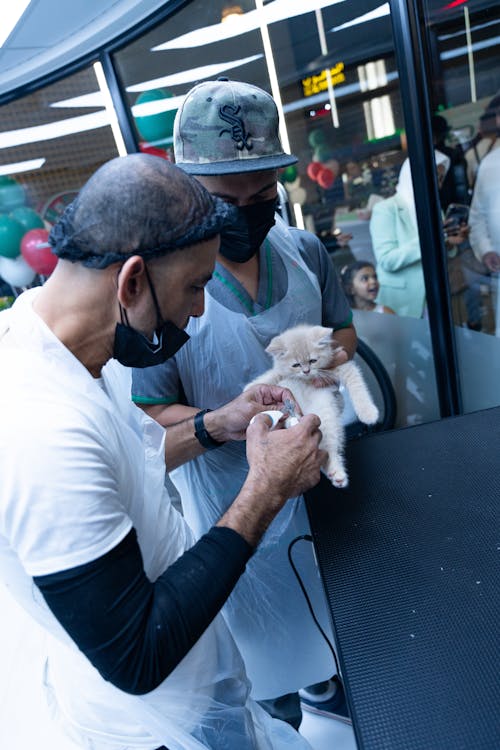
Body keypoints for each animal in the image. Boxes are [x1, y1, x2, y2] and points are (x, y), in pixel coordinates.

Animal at [246, 326, 378, 490]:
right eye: (296, 365)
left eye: (312, 360)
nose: (306, 371)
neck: (306, 380)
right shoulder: (281, 373)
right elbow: (271, 375)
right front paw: (251, 388)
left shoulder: (340, 367)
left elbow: (357, 385)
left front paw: (368, 413)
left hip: (327, 418)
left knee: (329, 448)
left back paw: (337, 474)